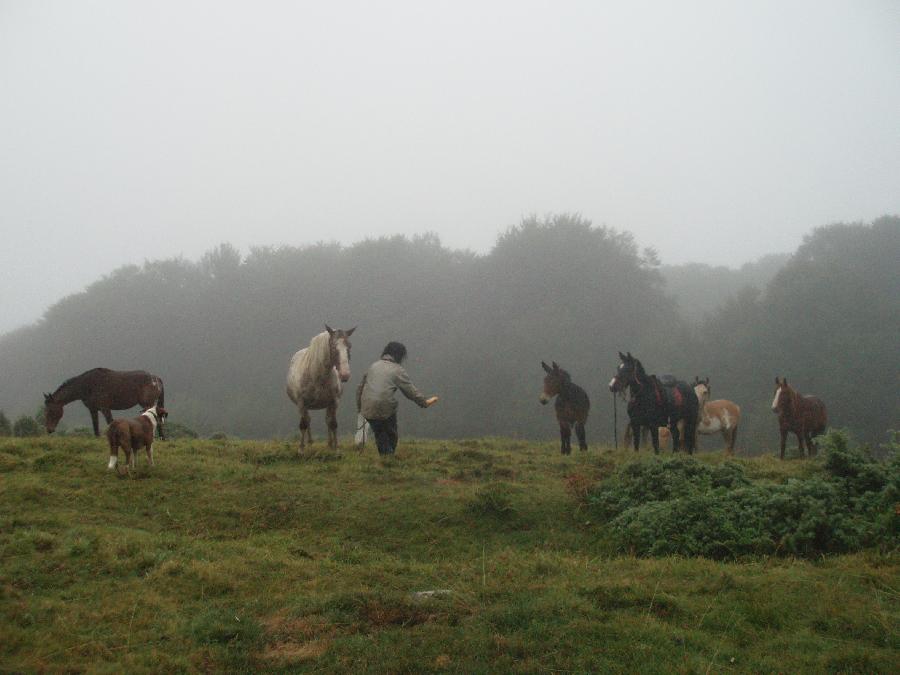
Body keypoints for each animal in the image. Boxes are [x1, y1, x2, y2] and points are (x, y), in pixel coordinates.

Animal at [290, 324, 356, 452]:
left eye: (349, 346)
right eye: (333, 347)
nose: (345, 374)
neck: (317, 376)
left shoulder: (334, 402)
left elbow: (333, 423)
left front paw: (336, 448)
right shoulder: (301, 403)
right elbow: (303, 424)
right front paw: (301, 449)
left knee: (327, 420)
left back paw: (329, 443)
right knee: (307, 420)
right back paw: (309, 442)